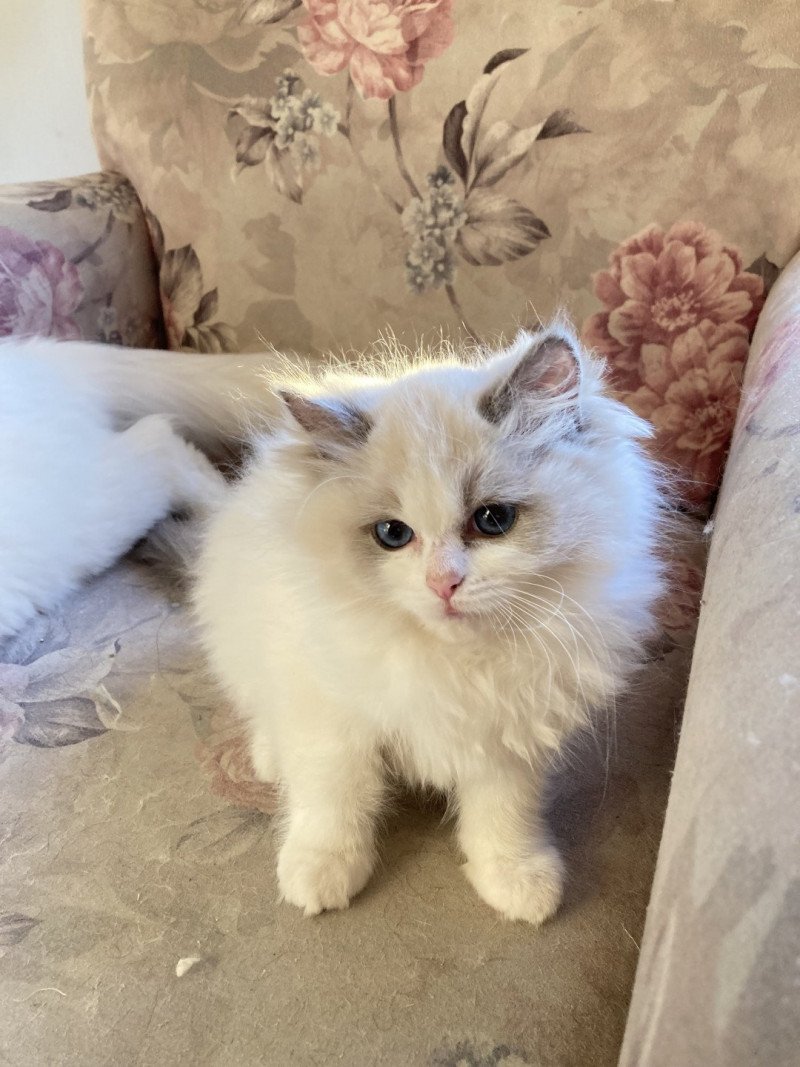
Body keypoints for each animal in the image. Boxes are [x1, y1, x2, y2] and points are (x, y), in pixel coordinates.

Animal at [1, 324, 665, 926]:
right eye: (393, 534)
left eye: (493, 520)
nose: (443, 584)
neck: (450, 663)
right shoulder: (331, 720)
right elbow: (333, 802)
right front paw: (319, 872)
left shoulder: (507, 734)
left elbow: (503, 815)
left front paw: (516, 880)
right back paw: (268, 759)